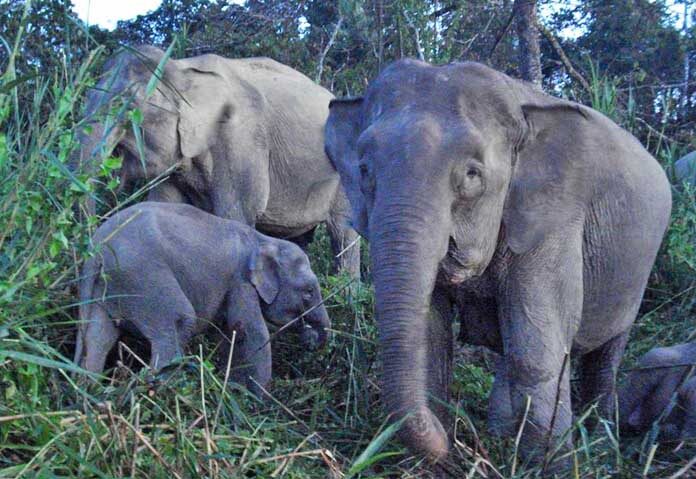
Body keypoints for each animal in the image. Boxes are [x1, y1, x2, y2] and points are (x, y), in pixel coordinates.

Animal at [75, 202, 330, 394]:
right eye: (309, 291)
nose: (310, 339)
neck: (264, 240)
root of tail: (97, 248)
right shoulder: (241, 282)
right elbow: (250, 331)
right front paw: (256, 403)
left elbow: (228, 334)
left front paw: (234, 391)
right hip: (143, 276)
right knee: (177, 324)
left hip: (107, 288)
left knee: (98, 337)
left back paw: (92, 394)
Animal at [76, 46, 358, 278]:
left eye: (130, 102)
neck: (182, 70)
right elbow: (166, 206)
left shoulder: (242, 139)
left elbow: (235, 213)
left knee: (343, 232)